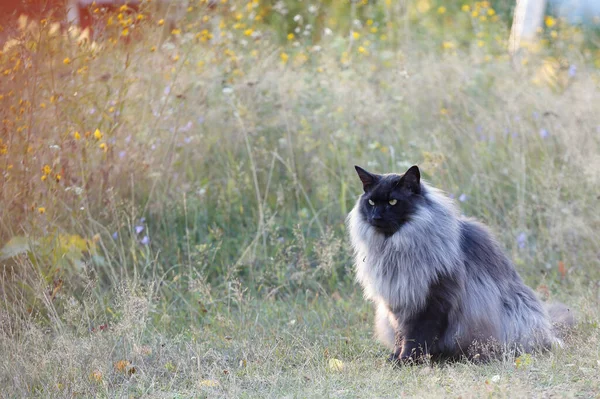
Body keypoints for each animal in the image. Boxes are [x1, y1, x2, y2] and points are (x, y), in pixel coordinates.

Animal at [350, 164, 576, 364]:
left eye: (393, 202)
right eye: (371, 202)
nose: (376, 216)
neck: (393, 248)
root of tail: (547, 330)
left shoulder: (432, 300)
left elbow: (416, 338)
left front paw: (407, 360)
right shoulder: (396, 304)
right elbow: (400, 337)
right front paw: (396, 357)